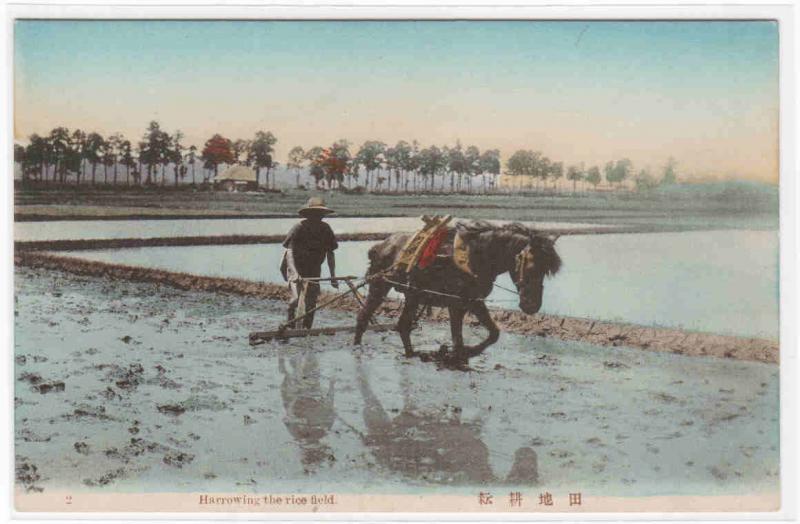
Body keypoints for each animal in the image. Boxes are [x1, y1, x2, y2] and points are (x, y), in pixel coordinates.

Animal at [356, 221, 564, 364]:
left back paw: (410, 354)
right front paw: (456, 355)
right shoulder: (455, 304)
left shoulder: (473, 301)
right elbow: (458, 339)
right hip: (380, 286)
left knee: (402, 325)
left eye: (545, 271)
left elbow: (493, 333)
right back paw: (358, 346)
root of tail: (380, 245)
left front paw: (466, 353)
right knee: (364, 316)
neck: (476, 256)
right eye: (531, 265)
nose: (532, 305)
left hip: (413, 295)